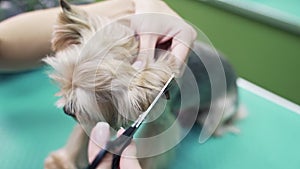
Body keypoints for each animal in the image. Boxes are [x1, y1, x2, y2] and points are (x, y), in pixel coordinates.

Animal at [43, 0, 243, 168]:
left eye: (100, 95)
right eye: (64, 83)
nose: (67, 110)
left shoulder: (160, 125)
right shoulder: (99, 114)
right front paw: (62, 161)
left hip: (216, 114)